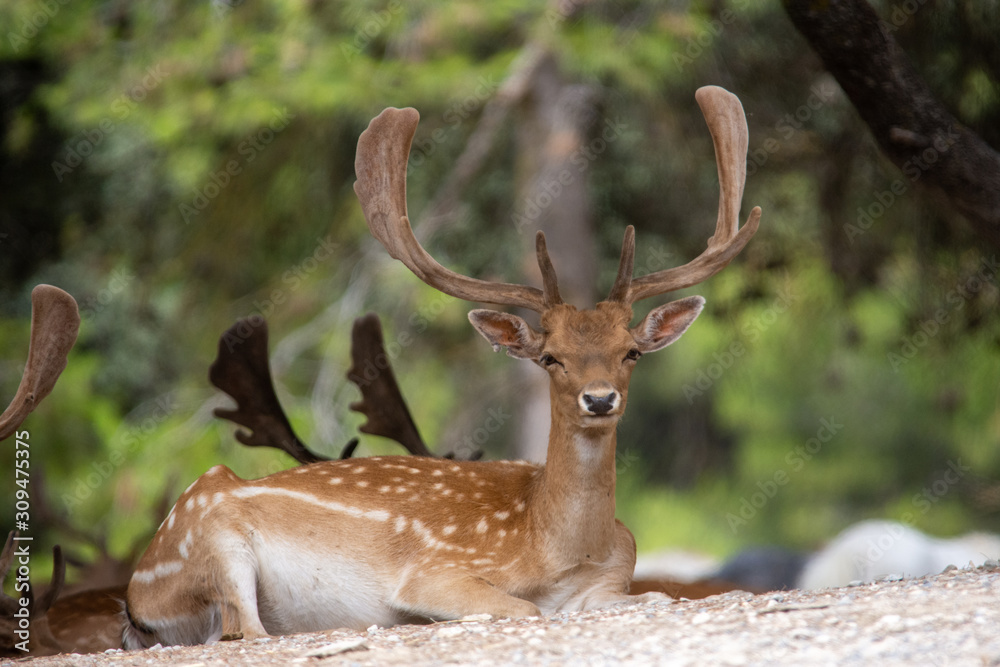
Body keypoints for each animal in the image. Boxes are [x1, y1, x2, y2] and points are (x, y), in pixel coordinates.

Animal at [122, 85, 760, 649]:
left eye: (630, 351)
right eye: (550, 357)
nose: (600, 398)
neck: (562, 550)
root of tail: (132, 596)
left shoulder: (613, 582)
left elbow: (657, 597)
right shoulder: (435, 571)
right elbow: (526, 608)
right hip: (212, 538)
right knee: (243, 631)